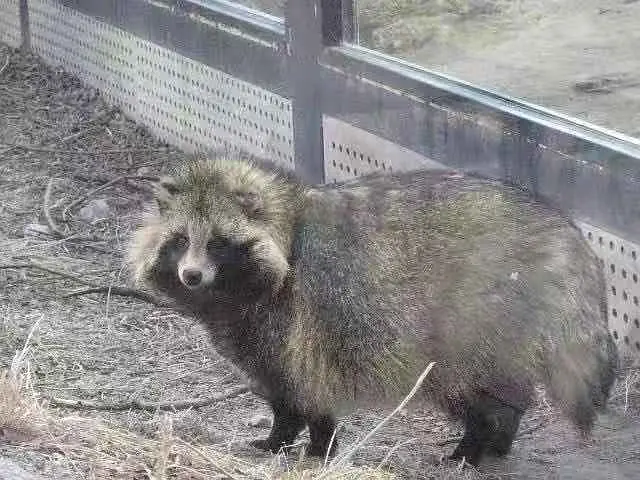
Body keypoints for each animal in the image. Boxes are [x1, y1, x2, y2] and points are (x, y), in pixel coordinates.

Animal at [127, 158, 616, 464]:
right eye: (180, 241)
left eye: (216, 243)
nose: (191, 275)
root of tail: (561, 231)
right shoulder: (258, 330)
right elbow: (284, 391)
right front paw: (289, 439)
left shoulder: (294, 319)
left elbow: (302, 386)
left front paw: (311, 444)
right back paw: (498, 436)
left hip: (474, 323)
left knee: (473, 391)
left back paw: (477, 443)